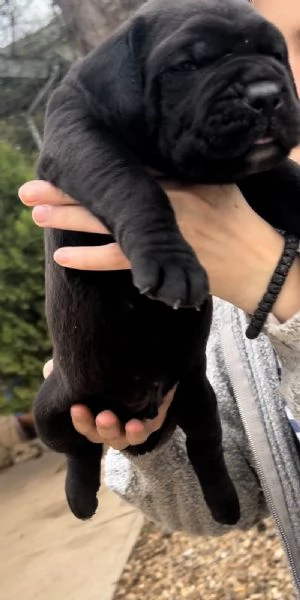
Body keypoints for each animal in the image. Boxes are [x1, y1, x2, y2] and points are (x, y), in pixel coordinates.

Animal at [34, 0, 300, 524]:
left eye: (275, 54)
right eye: (187, 65)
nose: (267, 95)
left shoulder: (257, 174)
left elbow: (290, 179)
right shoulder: (78, 136)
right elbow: (127, 180)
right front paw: (170, 261)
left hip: (198, 396)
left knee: (205, 449)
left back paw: (224, 506)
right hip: (51, 408)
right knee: (80, 449)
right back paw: (80, 498)